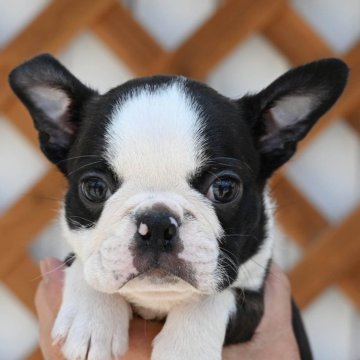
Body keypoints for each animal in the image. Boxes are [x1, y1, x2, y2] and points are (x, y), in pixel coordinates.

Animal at [9, 54, 348, 360]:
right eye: (94, 188)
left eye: (225, 188)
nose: (158, 224)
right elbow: (85, 265)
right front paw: (90, 318)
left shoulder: (257, 295)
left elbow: (218, 296)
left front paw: (186, 348)